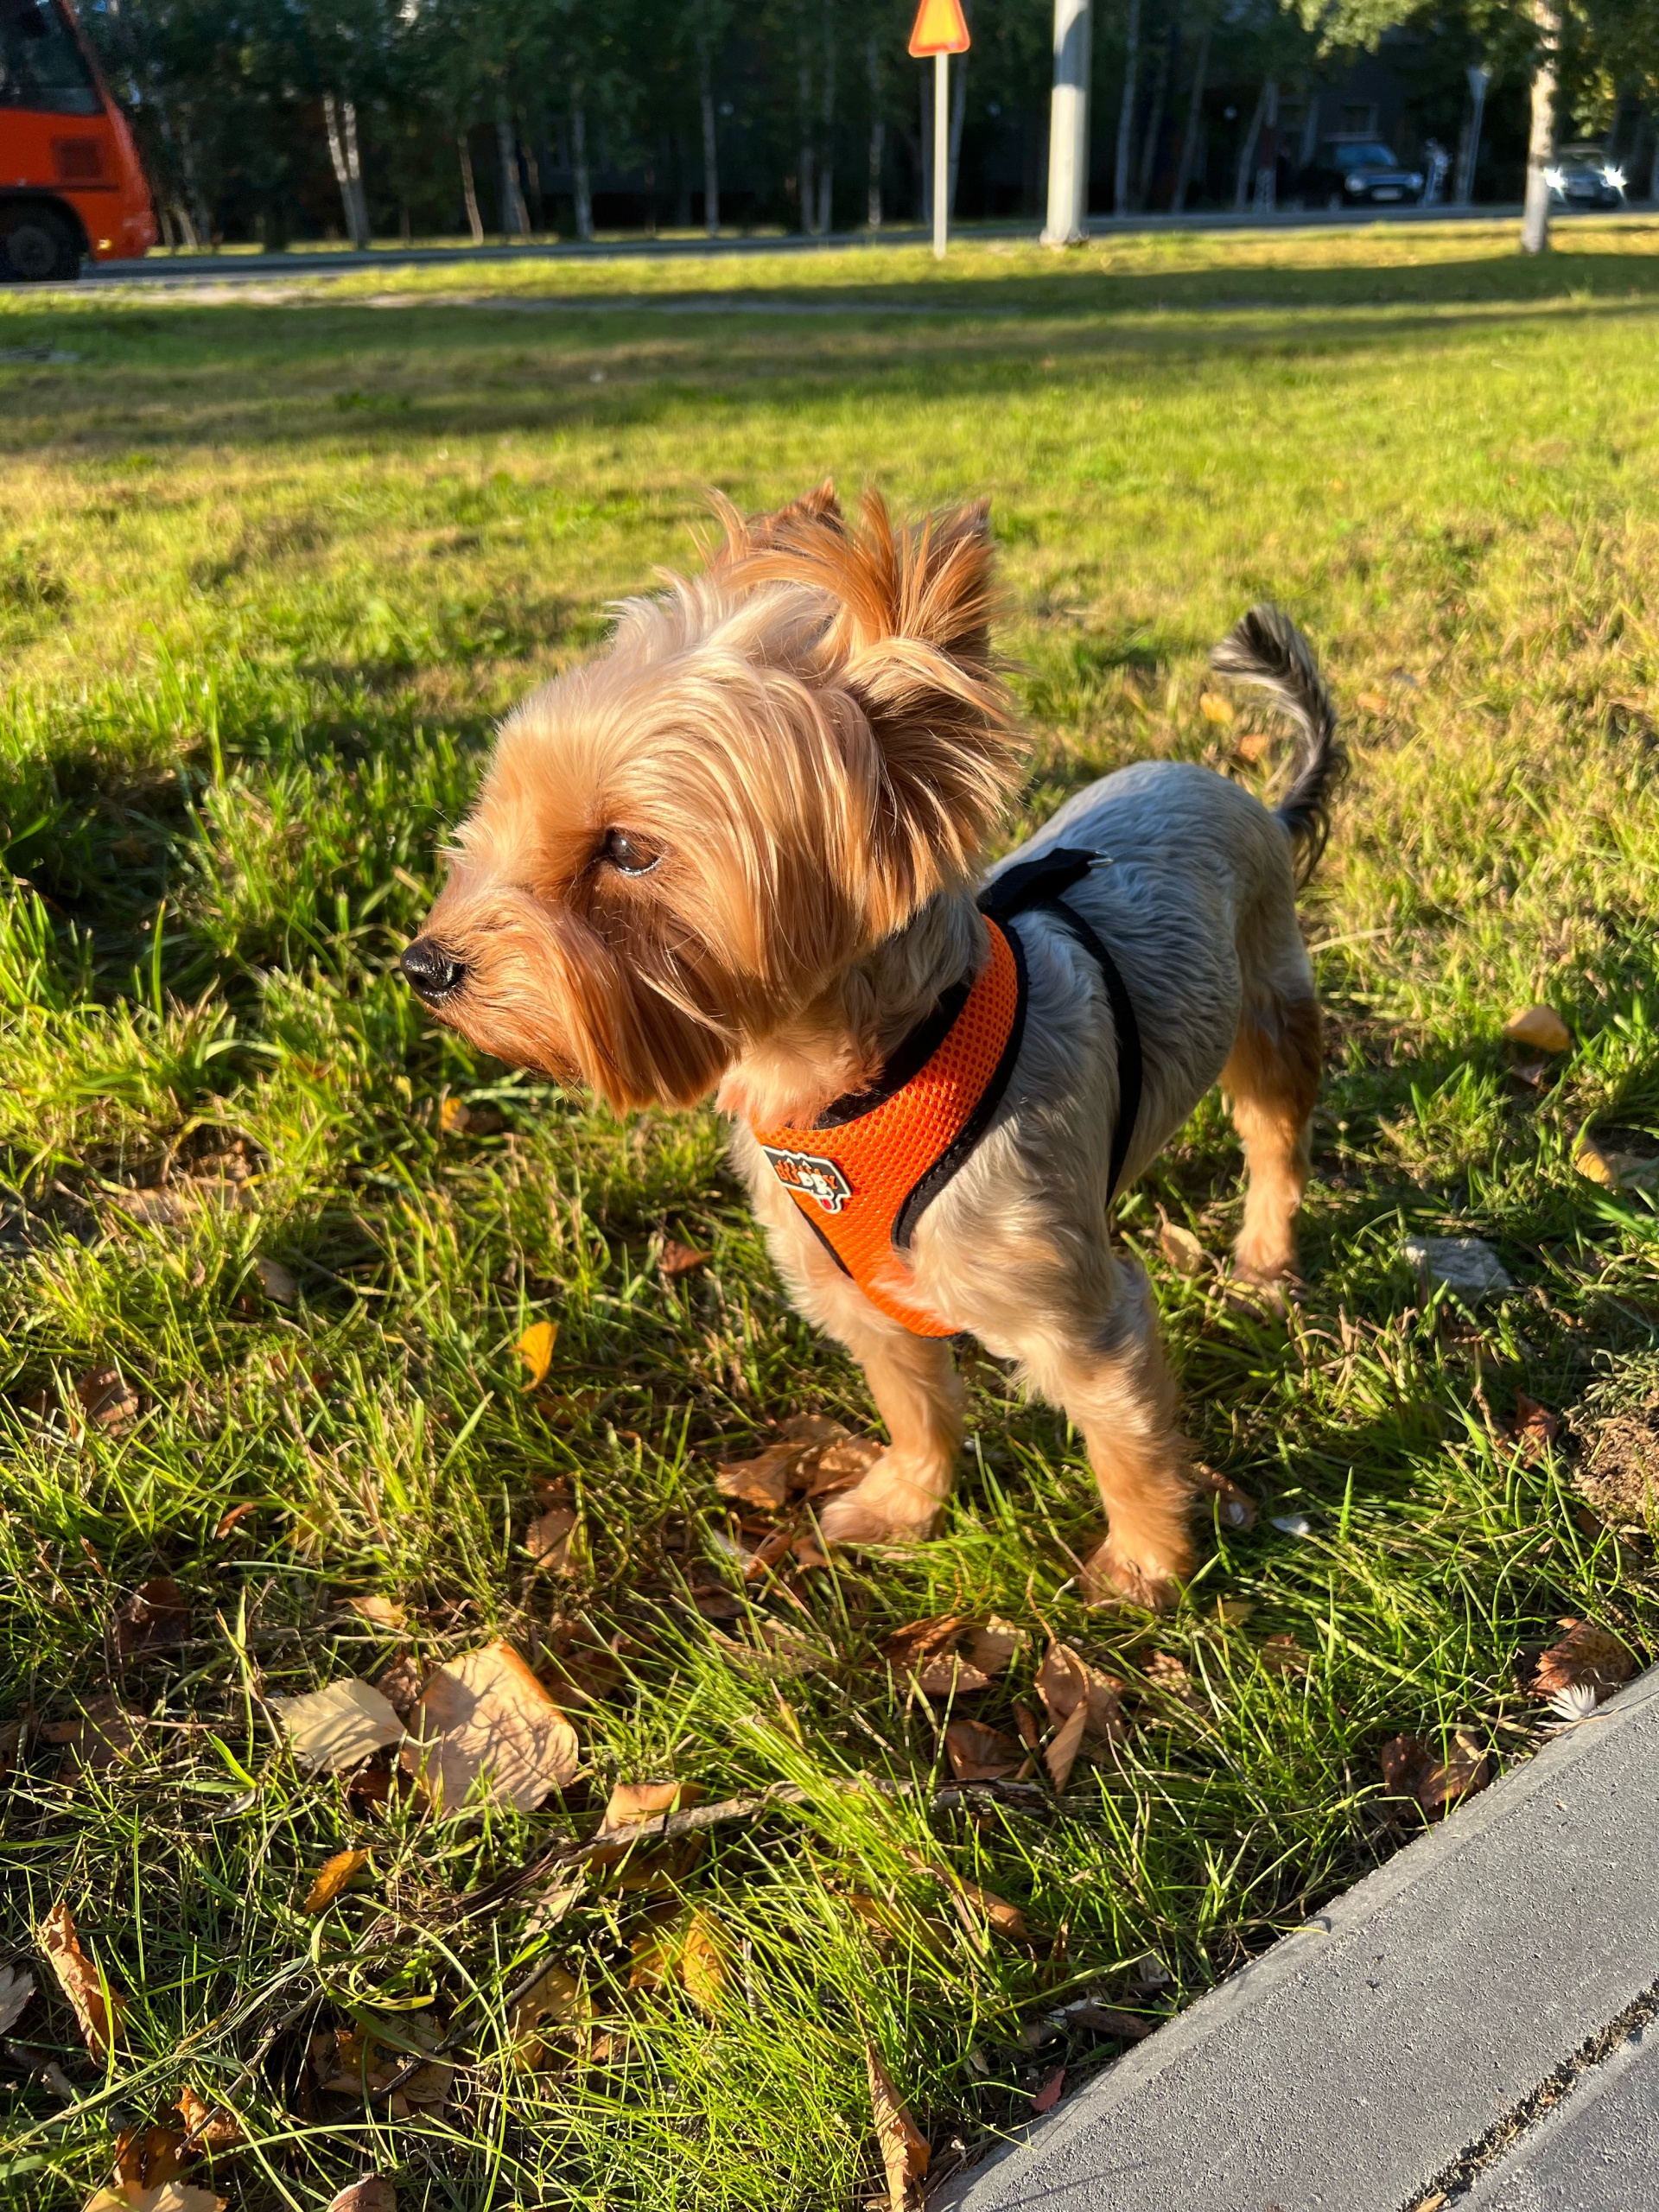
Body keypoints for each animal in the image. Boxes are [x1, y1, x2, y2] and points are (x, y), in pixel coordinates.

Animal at [407, 488, 1353, 1610]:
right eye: (495, 818)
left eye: (628, 850)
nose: (426, 964)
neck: (852, 1087)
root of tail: (1250, 796)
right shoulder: (853, 1293)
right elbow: (914, 1403)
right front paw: (907, 1506)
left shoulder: (1074, 1314)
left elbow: (1126, 1442)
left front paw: (1143, 1570)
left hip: (1270, 998)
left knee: (1276, 1134)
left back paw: (1265, 1258)